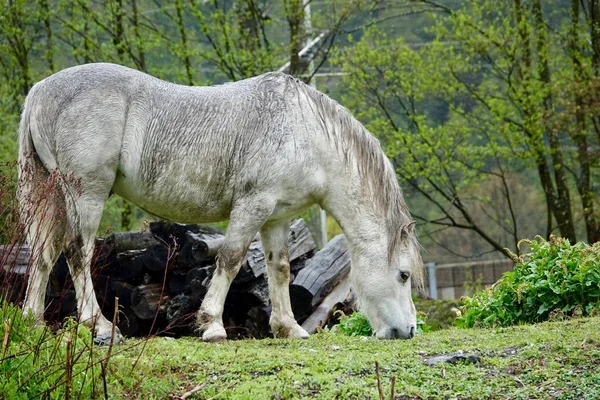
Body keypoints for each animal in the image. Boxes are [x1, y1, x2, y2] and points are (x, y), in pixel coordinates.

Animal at [17, 63, 422, 344]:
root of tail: (39, 90)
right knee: (77, 253)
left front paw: (288, 328)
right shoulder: (252, 206)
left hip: (53, 195)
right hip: (87, 193)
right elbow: (229, 259)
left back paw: (32, 321)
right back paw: (100, 325)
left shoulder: (276, 218)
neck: (304, 132)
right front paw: (212, 325)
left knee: (43, 254)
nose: (408, 331)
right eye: (403, 275)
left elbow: (280, 269)